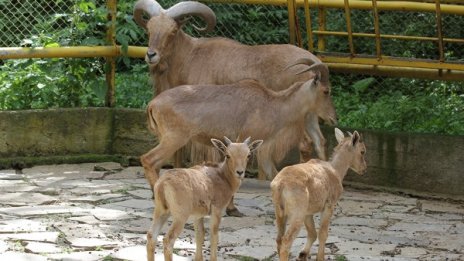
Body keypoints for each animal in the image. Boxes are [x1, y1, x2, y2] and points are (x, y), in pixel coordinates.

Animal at [134, 0, 338, 165]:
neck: (191, 57)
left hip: (296, 116)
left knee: (305, 143)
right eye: (149, 29)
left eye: (173, 31)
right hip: (312, 114)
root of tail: (314, 62)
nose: (151, 55)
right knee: (320, 141)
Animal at [140, 68, 336, 191]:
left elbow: (273, 172)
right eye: (326, 91)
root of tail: (152, 104)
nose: (334, 117)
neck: (272, 104)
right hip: (174, 139)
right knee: (148, 159)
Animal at [272, 127, 366, 258]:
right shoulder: (329, 205)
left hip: (279, 212)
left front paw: (302, 254)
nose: (364, 169)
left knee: (279, 239)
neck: (335, 170)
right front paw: (320, 257)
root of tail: (280, 184)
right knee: (287, 240)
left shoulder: (308, 212)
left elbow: (312, 233)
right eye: (362, 151)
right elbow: (323, 234)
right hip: (297, 213)